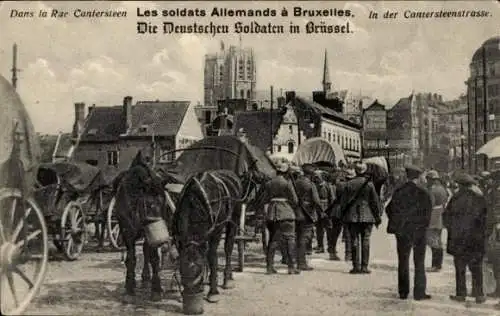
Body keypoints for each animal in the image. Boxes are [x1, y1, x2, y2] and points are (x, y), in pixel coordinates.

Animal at [112, 151, 173, 302]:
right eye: (149, 204)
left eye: (164, 203)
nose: (163, 240)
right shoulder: (127, 230)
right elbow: (131, 258)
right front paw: (129, 289)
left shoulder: (149, 232)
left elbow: (153, 257)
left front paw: (156, 289)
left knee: (146, 251)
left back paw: (146, 277)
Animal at [171, 165, 266, 302]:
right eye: (182, 270)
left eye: (197, 270)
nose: (191, 293)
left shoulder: (216, 230)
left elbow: (212, 255)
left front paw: (213, 291)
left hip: (234, 216)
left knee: (228, 246)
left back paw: (227, 279)